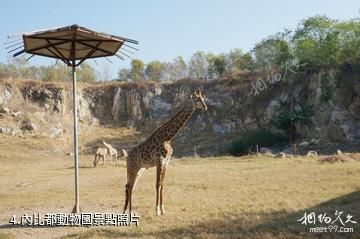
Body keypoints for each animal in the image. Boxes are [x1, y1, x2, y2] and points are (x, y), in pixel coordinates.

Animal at [123, 89, 208, 217]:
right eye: (197, 100)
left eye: (203, 99)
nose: (205, 107)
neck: (167, 138)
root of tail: (127, 157)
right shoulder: (159, 160)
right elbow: (157, 184)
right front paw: (157, 210)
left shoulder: (166, 162)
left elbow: (162, 184)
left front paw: (163, 209)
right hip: (132, 168)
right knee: (129, 186)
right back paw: (129, 212)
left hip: (139, 169)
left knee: (130, 186)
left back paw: (127, 211)